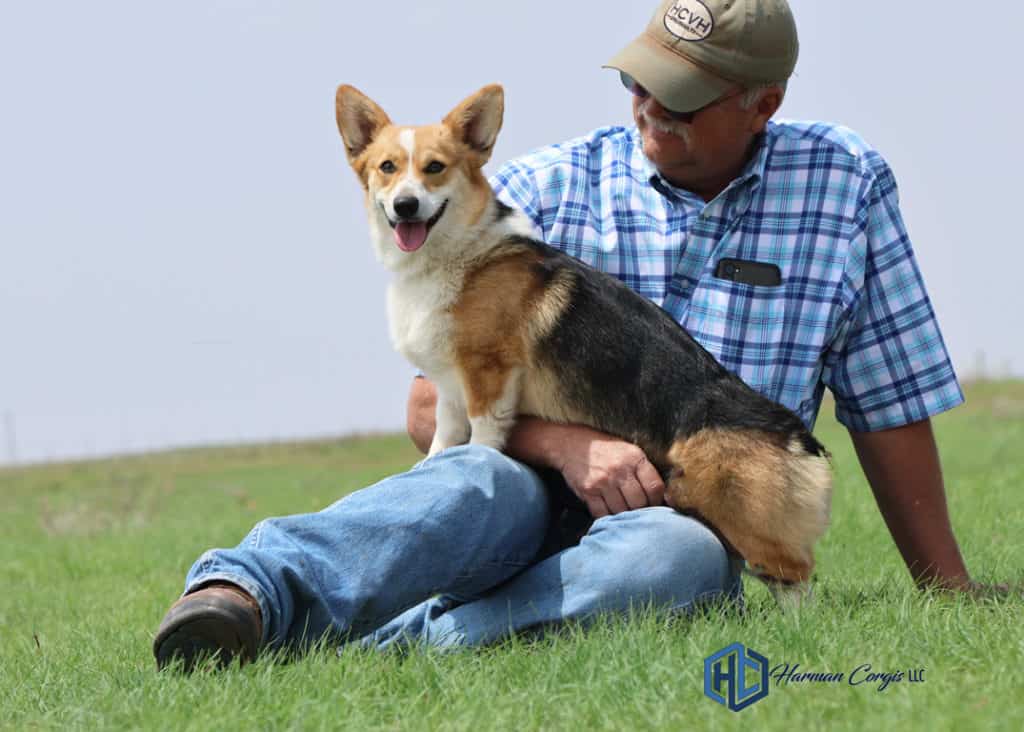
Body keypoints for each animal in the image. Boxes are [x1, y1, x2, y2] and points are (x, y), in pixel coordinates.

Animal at [335, 82, 831, 606]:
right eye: (387, 167)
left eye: (435, 167)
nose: (406, 206)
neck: (451, 255)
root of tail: (798, 437)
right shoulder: (451, 385)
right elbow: (444, 441)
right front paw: (435, 463)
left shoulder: (488, 374)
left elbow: (483, 441)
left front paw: (480, 462)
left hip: (740, 517)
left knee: (795, 578)